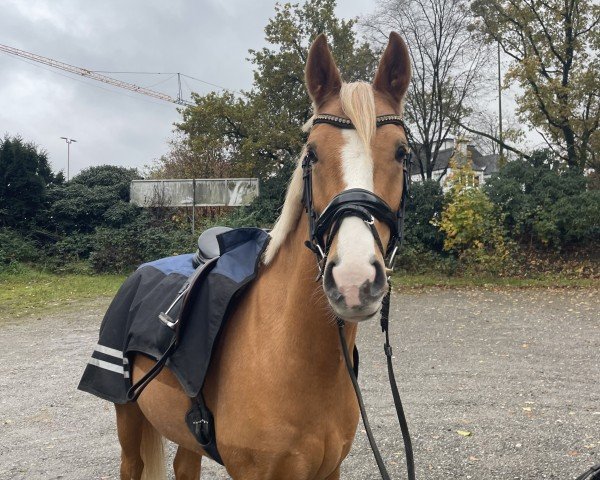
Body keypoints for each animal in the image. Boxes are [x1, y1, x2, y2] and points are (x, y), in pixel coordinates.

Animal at [114, 31, 410, 478]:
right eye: (312, 153)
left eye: (402, 152)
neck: (291, 354)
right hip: (128, 421)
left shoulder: (329, 470)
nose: (354, 281)